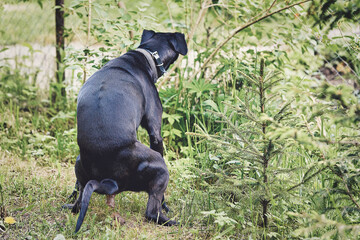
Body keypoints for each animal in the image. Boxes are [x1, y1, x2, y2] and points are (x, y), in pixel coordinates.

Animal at [64, 29, 188, 232]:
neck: (145, 55)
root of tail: (110, 182)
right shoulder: (155, 131)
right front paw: (167, 205)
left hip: (78, 162)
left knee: (78, 204)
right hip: (160, 167)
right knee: (151, 213)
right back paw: (173, 221)